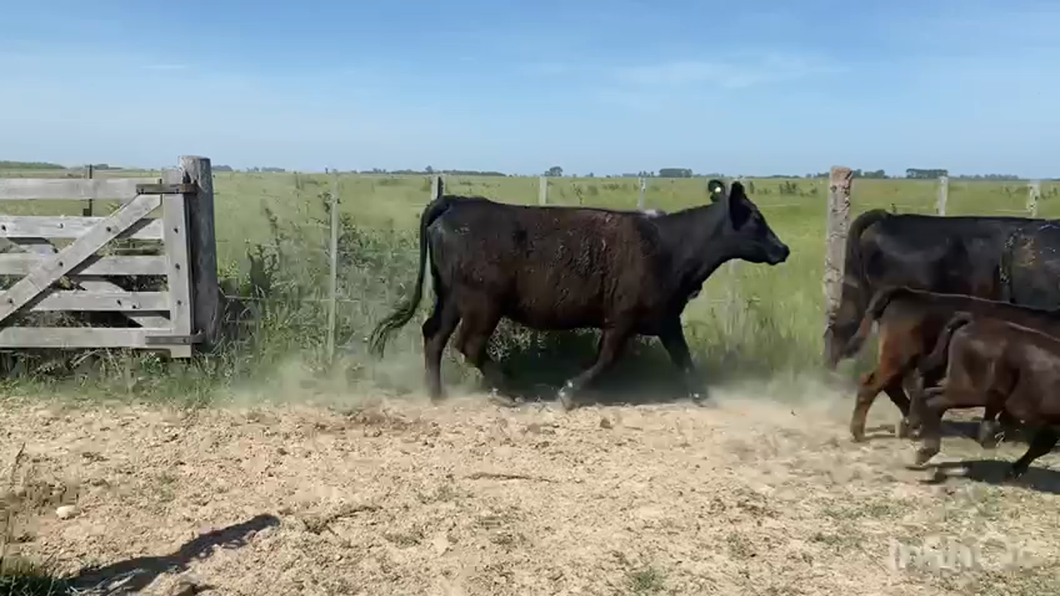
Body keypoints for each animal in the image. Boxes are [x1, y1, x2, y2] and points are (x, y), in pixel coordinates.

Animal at [368, 176, 792, 407]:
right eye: (755, 218)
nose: (783, 249)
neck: (669, 246)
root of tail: (457, 202)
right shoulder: (621, 319)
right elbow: (607, 359)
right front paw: (568, 393)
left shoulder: (665, 318)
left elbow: (684, 359)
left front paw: (705, 397)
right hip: (482, 303)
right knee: (467, 344)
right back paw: (512, 388)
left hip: (451, 297)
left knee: (434, 335)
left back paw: (436, 394)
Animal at [835, 282, 1060, 441]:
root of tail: (907, 293)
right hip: (898, 356)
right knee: (871, 385)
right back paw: (860, 433)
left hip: (902, 360)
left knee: (892, 387)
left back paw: (913, 423)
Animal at [911, 313, 1060, 475]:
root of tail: (973, 322)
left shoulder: (1053, 423)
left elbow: (1042, 445)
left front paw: (1014, 471)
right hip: (975, 393)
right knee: (934, 401)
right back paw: (925, 450)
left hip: (962, 386)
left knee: (926, 391)